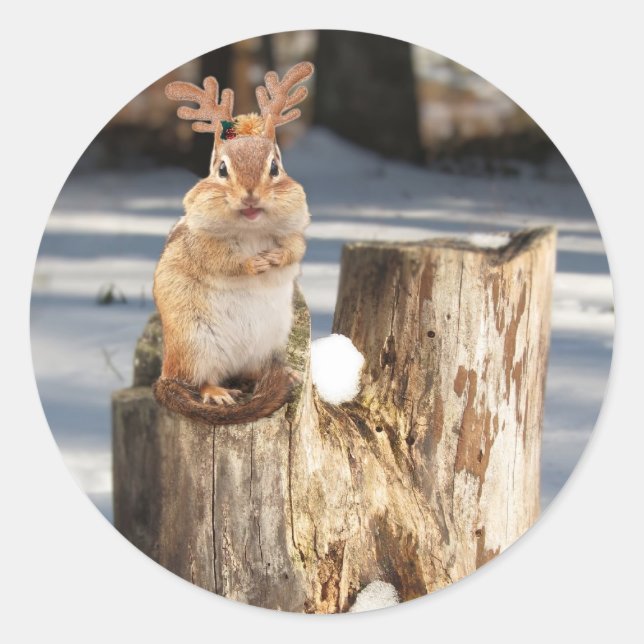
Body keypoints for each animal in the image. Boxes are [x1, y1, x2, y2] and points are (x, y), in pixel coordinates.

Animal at [152, 62, 314, 425]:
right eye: (222, 169)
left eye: (275, 166)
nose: (250, 195)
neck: (252, 230)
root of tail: (165, 373)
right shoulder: (202, 244)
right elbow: (222, 260)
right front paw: (254, 263)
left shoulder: (294, 233)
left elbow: (294, 250)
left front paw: (273, 258)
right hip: (196, 347)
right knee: (203, 380)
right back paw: (218, 393)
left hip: (267, 342)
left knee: (253, 373)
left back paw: (287, 374)